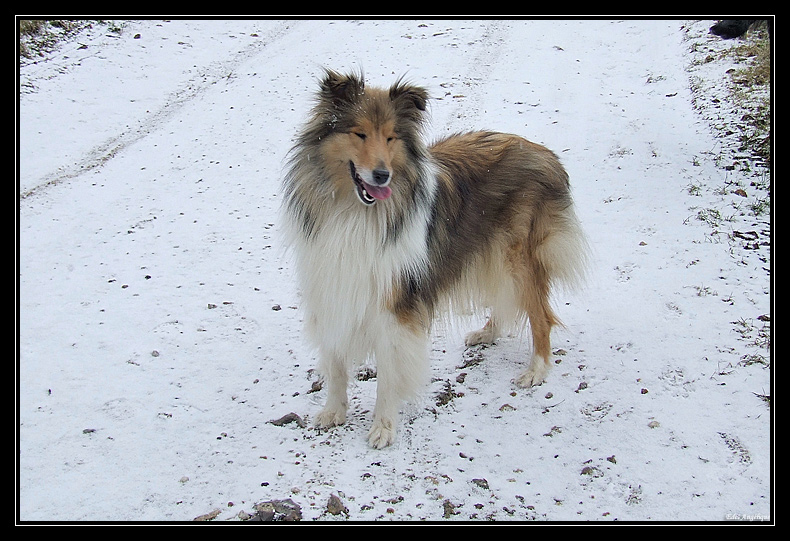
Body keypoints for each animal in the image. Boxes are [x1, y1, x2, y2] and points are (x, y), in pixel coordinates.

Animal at [284, 70, 588, 448]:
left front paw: (383, 427)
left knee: (541, 316)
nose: (382, 175)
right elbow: (336, 362)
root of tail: (545, 153)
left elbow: (389, 373)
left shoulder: (395, 304)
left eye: (391, 137)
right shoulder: (331, 284)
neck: (354, 212)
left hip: (518, 257)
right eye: (360, 133)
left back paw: (536, 370)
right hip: (491, 251)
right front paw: (333, 412)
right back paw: (488, 333)